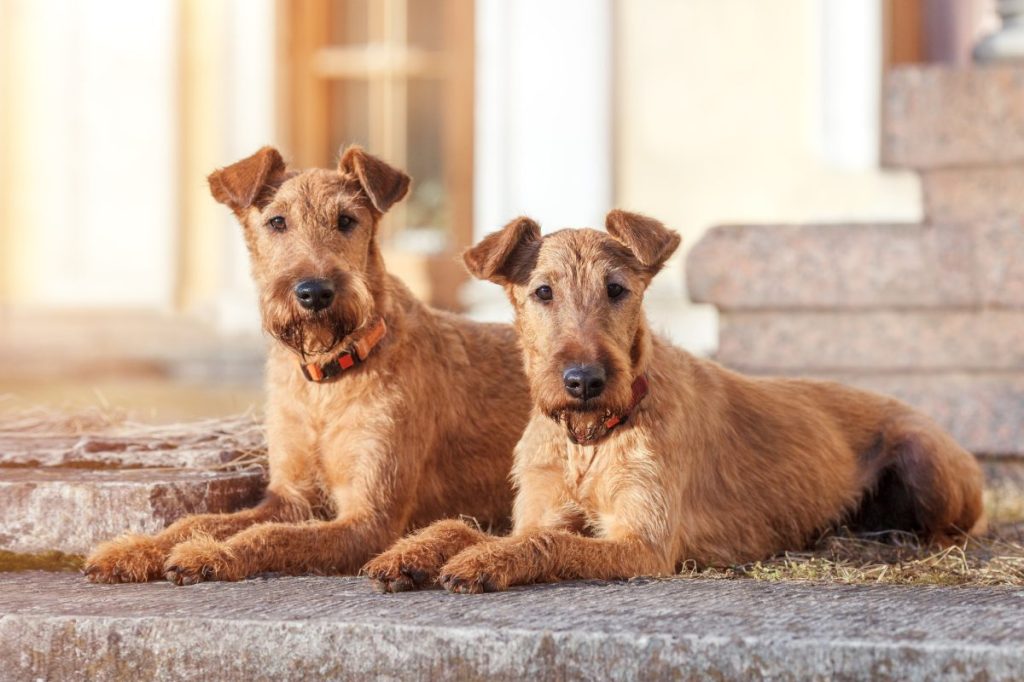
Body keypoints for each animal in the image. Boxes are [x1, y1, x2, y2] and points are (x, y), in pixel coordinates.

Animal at [84, 146, 532, 581]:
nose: (314, 292)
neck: (326, 382)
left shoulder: (369, 518)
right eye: (277, 221)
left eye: (346, 220)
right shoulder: (289, 496)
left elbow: (271, 535)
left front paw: (211, 554)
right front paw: (134, 549)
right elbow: (200, 520)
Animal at [366, 210, 983, 589]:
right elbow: (466, 526)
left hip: (928, 464)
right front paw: (408, 554)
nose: (584, 380)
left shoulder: (642, 544)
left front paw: (483, 563)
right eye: (542, 292)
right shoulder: (542, 508)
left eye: (617, 289)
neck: (590, 440)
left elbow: (545, 543)